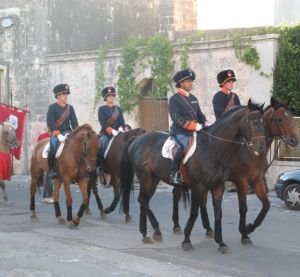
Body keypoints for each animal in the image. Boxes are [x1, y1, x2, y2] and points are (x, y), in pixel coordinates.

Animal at [120, 99, 266, 250]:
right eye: (253, 121)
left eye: (263, 122)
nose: (262, 147)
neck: (213, 148)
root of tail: (137, 139)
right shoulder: (199, 186)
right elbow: (194, 212)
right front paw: (186, 240)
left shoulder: (218, 186)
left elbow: (218, 213)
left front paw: (220, 242)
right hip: (146, 178)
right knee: (143, 200)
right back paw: (145, 234)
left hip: (154, 179)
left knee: (145, 201)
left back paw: (156, 231)